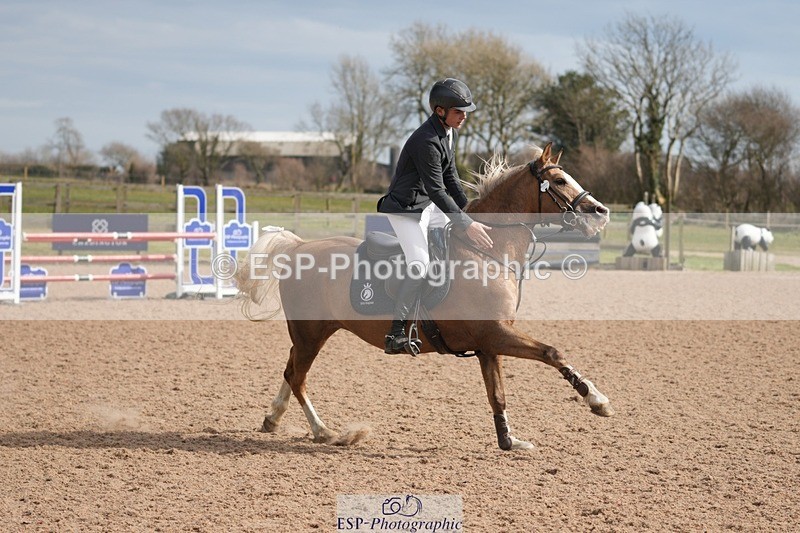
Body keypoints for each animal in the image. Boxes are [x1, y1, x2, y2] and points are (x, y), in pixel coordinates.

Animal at [235, 143, 614, 450]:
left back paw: (273, 419)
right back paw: (326, 432)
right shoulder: (496, 334)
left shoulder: (489, 344)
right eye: (560, 181)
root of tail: (298, 247)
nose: (601, 213)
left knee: (290, 370)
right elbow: (552, 352)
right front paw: (596, 400)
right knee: (298, 377)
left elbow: (497, 395)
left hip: (314, 332)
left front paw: (509, 440)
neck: (488, 251)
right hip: (310, 332)